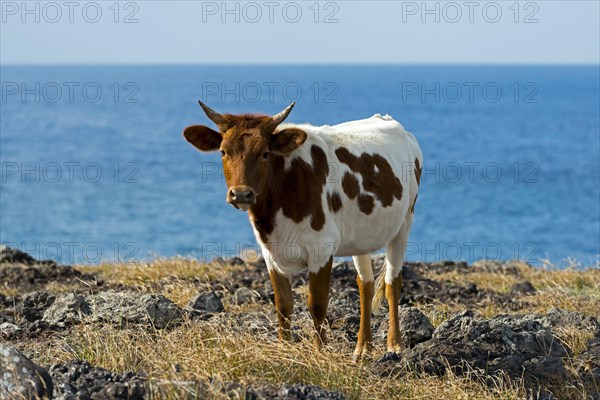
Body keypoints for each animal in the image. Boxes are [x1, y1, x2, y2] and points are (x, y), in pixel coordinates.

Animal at [183, 101, 422, 360]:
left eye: (265, 153)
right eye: (223, 152)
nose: (241, 194)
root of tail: (389, 120)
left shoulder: (321, 248)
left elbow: (317, 305)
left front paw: (320, 352)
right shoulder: (270, 253)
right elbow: (283, 305)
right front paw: (283, 348)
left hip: (404, 224)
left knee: (392, 282)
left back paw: (394, 344)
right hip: (361, 237)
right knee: (365, 284)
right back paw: (362, 348)